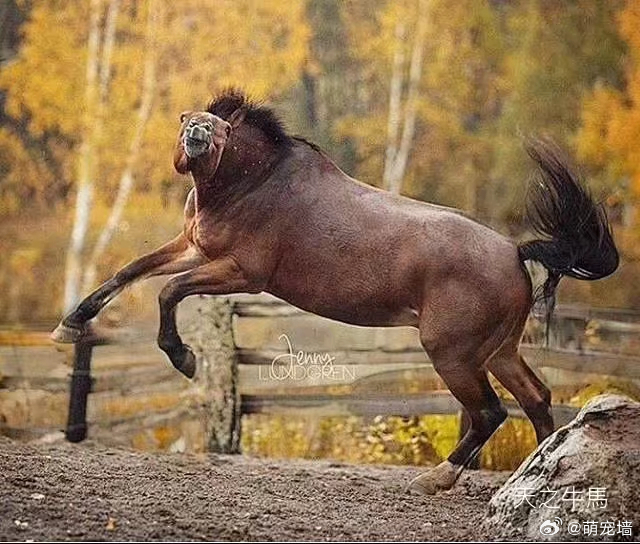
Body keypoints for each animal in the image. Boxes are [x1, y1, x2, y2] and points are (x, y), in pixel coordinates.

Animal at [51, 89, 619, 495]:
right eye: (188, 117)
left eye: (222, 128)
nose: (195, 135)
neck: (251, 185)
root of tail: (514, 254)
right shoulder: (193, 248)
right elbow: (130, 272)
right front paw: (71, 324)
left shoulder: (241, 273)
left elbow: (168, 292)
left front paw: (184, 358)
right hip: (498, 351)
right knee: (536, 398)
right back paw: (537, 477)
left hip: (453, 354)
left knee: (490, 413)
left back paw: (438, 478)